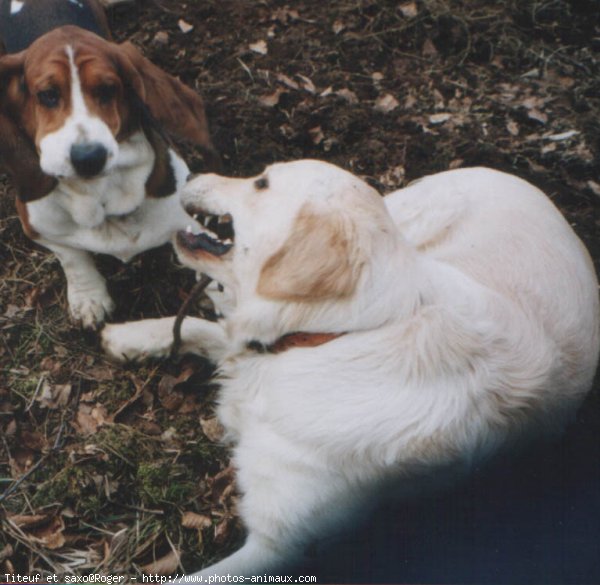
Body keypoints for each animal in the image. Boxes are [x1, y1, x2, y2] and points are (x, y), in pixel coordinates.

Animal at [0, 0, 220, 328]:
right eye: (47, 95)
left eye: (107, 90)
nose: (89, 156)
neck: (99, 194)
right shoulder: (38, 226)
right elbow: (72, 257)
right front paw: (89, 298)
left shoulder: (190, 220)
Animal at [102, 159, 600, 576]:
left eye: (261, 183)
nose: (186, 174)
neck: (344, 332)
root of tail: (516, 178)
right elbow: (204, 331)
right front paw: (131, 336)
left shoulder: (280, 544)